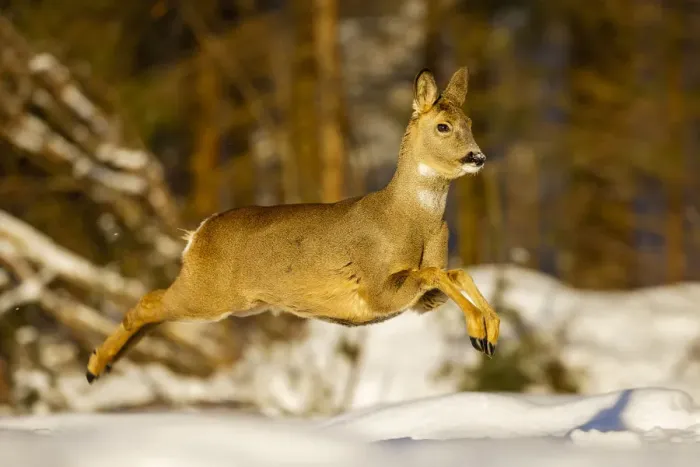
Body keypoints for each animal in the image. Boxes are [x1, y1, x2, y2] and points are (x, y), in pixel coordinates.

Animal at [86, 66, 500, 383]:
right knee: (147, 303)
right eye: (444, 126)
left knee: (153, 310)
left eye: (470, 122)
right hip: (208, 293)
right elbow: (436, 272)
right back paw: (94, 366)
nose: (477, 157)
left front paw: (489, 332)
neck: (412, 221)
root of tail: (199, 232)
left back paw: (103, 365)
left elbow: (454, 273)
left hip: (237, 303)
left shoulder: (416, 302)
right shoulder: (375, 288)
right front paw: (479, 330)